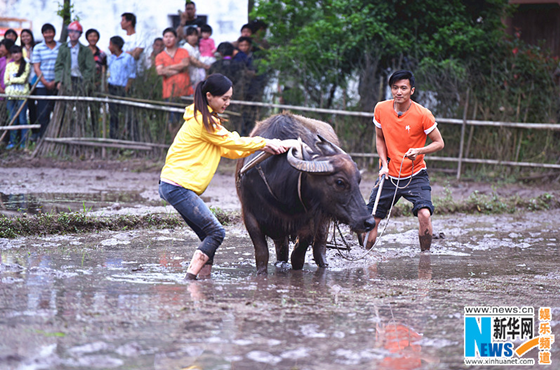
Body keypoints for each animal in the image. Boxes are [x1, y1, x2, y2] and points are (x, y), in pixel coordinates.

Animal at [234, 112, 374, 274]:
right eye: (340, 182)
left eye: (358, 180)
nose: (369, 222)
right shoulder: (250, 217)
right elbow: (262, 255)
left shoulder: (310, 222)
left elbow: (297, 257)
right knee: (282, 250)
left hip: (325, 217)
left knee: (319, 246)